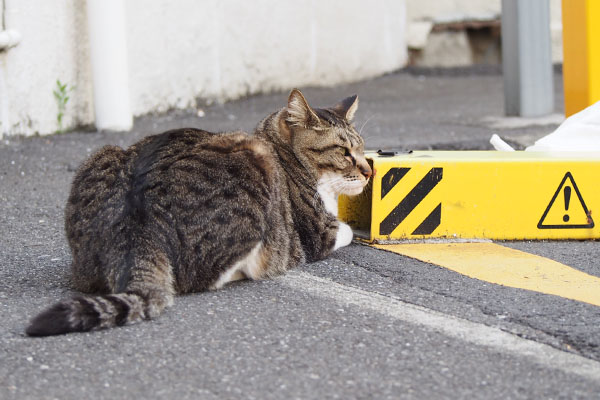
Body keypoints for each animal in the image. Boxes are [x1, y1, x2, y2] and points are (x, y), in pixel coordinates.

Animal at [27, 89, 370, 336]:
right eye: (344, 152)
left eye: (362, 147)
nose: (369, 171)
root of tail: (136, 227)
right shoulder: (319, 233)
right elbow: (345, 230)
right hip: (252, 165)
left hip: (101, 157)